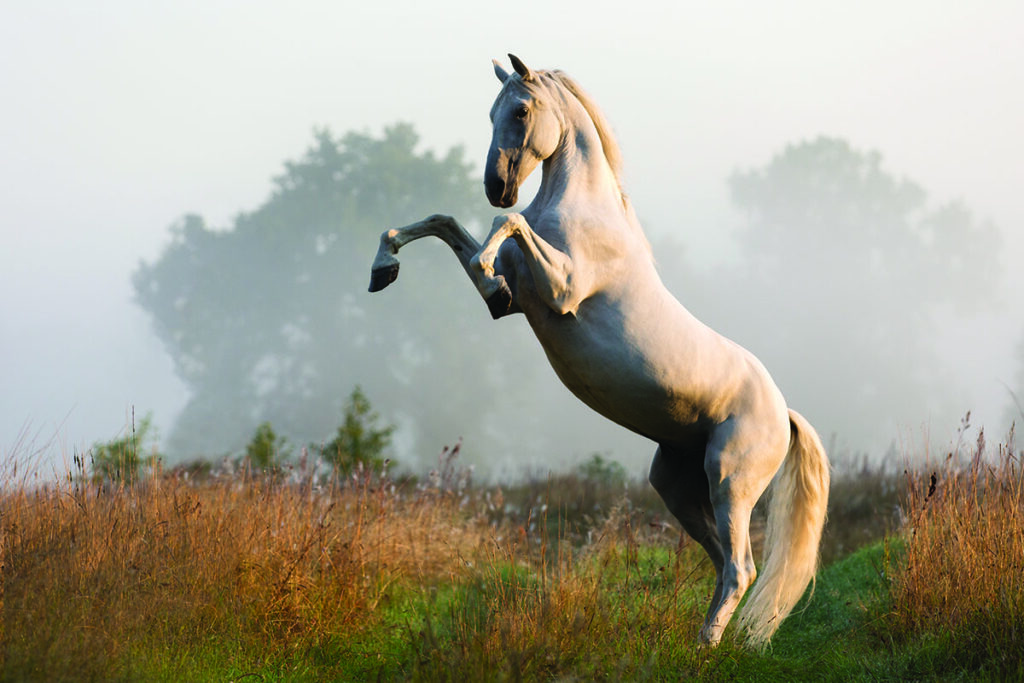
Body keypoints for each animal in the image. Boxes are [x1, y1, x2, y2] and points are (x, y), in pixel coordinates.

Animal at [368, 56, 831, 651]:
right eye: (492, 112)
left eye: (521, 110)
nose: (497, 186)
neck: (579, 210)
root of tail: (783, 412)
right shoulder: (513, 304)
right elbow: (445, 223)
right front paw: (384, 267)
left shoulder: (561, 287)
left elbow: (503, 228)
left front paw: (480, 260)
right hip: (677, 485)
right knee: (722, 561)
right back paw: (699, 638)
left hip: (731, 480)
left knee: (741, 567)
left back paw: (704, 649)